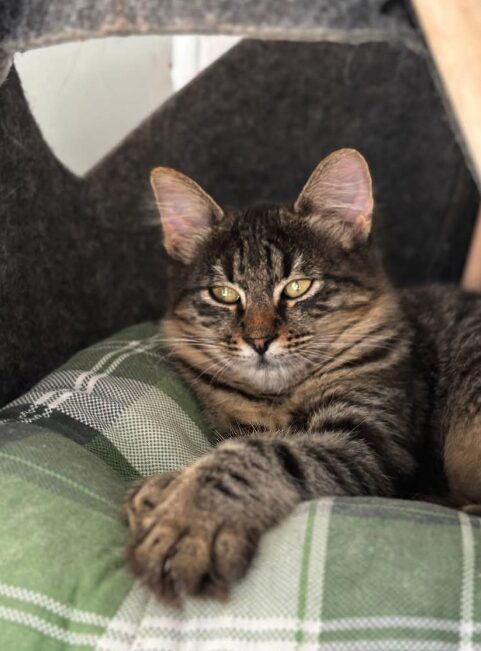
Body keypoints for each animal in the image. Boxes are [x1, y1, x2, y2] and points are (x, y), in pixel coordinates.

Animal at [124, 149, 480, 608]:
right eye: (224, 294)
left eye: (297, 287)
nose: (258, 341)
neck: (280, 396)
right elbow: (246, 443)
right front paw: (166, 491)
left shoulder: (369, 439)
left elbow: (264, 454)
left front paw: (188, 514)